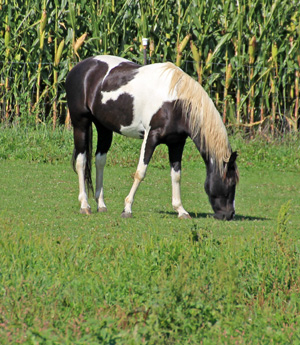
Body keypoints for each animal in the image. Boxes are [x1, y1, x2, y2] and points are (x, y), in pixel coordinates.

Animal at [65, 55, 239, 219]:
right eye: (231, 183)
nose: (229, 215)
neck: (175, 102)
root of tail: (78, 68)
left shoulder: (176, 143)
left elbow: (176, 176)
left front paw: (181, 210)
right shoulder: (151, 137)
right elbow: (140, 172)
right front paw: (127, 209)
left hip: (104, 128)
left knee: (99, 161)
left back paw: (101, 204)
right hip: (81, 124)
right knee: (81, 162)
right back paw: (85, 205)